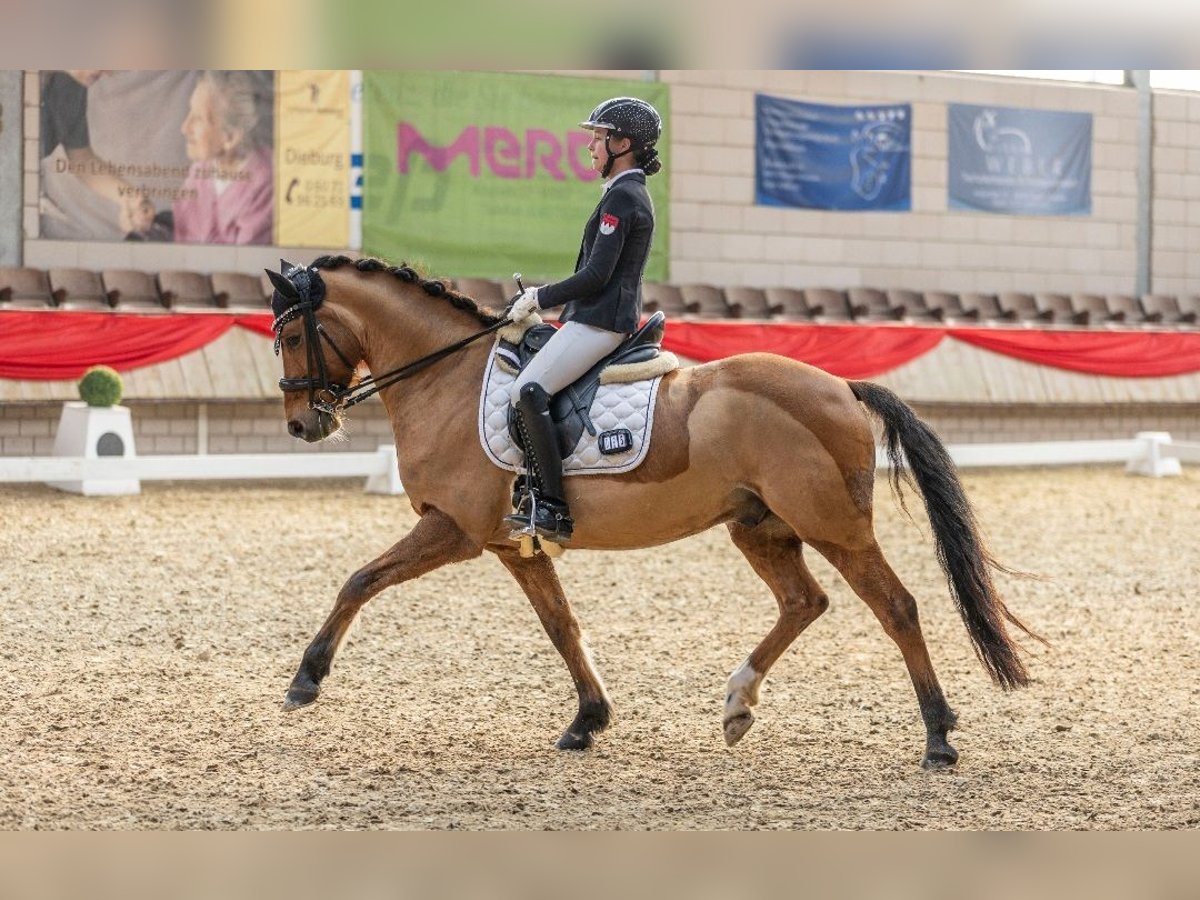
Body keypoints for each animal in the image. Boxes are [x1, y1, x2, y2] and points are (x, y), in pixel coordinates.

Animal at [270, 252, 1041, 768]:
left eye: (289, 336)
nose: (305, 426)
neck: (445, 379)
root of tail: (843, 386)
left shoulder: (452, 529)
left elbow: (360, 580)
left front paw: (306, 679)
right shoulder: (512, 544)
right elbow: (562, 626)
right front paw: (589, 719)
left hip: (835, 526)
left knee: (896, 607)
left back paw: (938, 736)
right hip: (760, 527)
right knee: (804, 601)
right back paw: (738, 704)